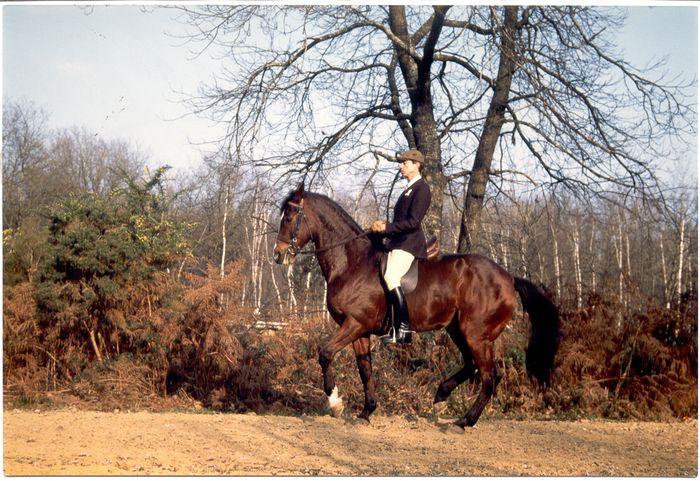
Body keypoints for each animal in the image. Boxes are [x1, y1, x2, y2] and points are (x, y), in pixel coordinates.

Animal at [272, 184, 556, 428]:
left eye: (289, 218)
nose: (278, 254)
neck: (352, 263)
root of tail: (508, 278)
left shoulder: (356, 324)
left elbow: (325, 353)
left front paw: (335, 402)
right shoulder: (358, 330)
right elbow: (365, 369)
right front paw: (366, 412)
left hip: (476, 334)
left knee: (488, 376)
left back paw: (464, 421)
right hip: (459, 330)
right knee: (473, 366)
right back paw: (441, 395)